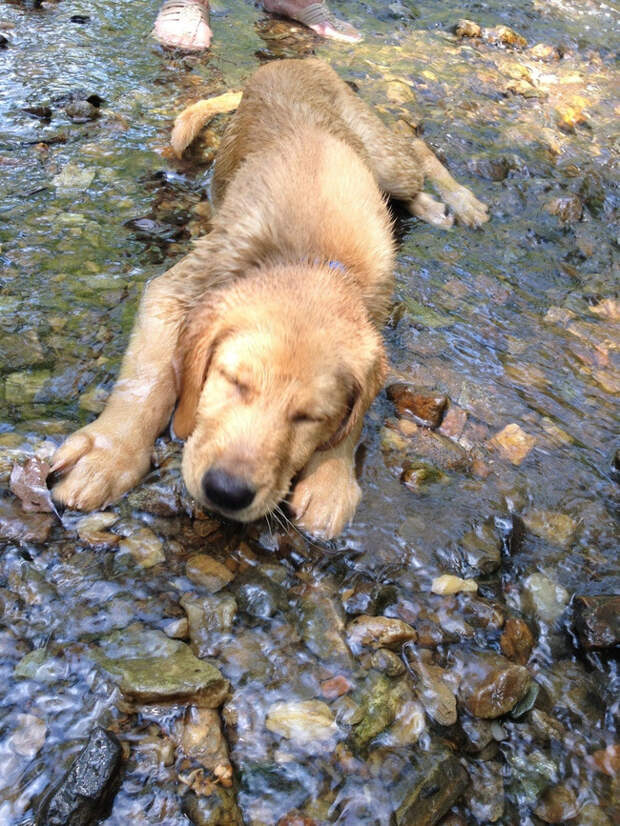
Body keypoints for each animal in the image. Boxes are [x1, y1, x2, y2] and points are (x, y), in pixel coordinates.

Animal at [52, 56, 490, 536]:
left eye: (310, 417)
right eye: (232, 381)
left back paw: (458, 202)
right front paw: (108, 454)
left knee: (415, 148)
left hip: (385, 162)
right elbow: (146, 380)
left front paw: (331, 480)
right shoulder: (178, 288)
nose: (227, 491)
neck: (312, 257)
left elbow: (354, 421)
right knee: (411, 143)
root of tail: (299, 60)